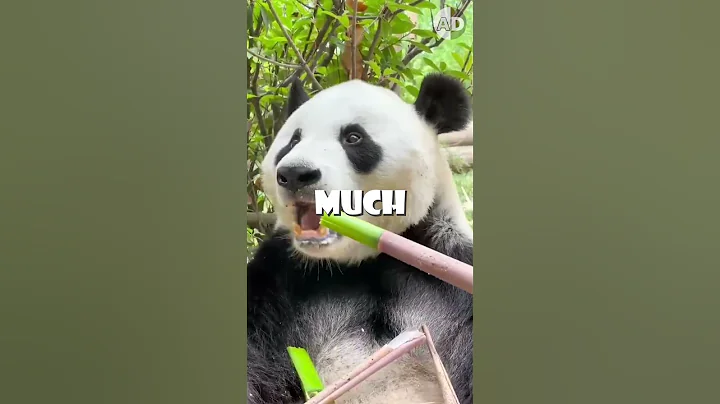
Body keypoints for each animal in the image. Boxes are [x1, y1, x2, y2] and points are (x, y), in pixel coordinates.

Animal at [248, 73, 474, 404]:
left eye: (353, 138)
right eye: (293, 140)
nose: (295, 173)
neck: (364, 261)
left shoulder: (448, 269)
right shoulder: (279, 283)